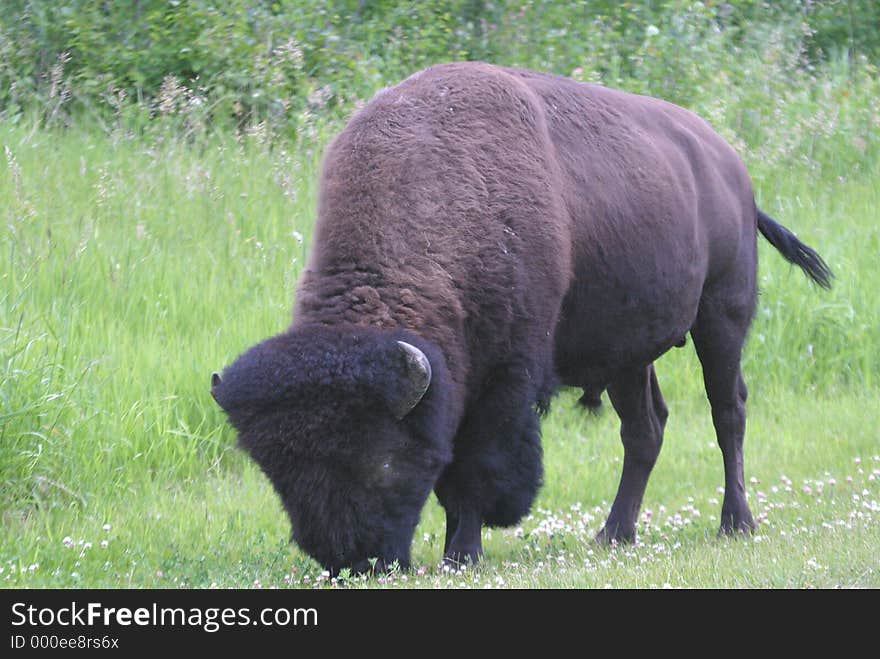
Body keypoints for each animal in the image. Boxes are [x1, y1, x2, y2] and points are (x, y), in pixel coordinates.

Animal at [210, 63, 828, 576]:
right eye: (276, 470)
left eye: (383, 458)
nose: (351, 560)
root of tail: (731, 169)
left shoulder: (504, 379)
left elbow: (476, 467)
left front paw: (462, 554)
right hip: (630, 352)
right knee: (645, 429)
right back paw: (613, 535)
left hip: (721, 316)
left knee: (728, 411)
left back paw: (735, 524)